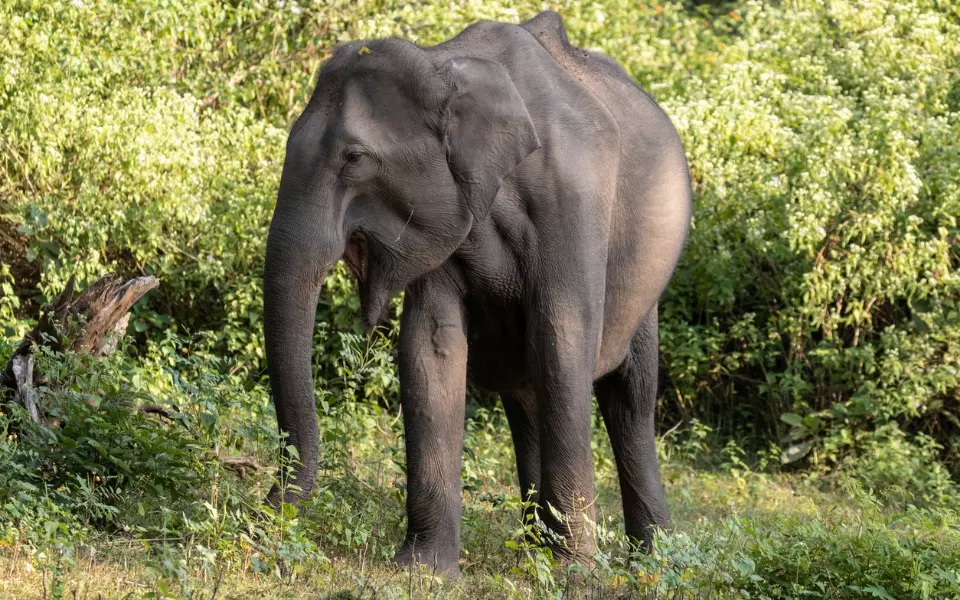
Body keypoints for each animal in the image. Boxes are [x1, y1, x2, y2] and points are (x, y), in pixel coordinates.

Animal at [262, 10, 688, 576]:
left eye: (355, 158)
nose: (267, 506)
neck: (444, 62)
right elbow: (430, 347)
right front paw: (422, 569)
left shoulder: (573, 198)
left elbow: (562, 338)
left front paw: (575, 572)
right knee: (527, 397)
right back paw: (533, 549)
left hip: (647, 284)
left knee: (629, 399)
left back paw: (650, 561)